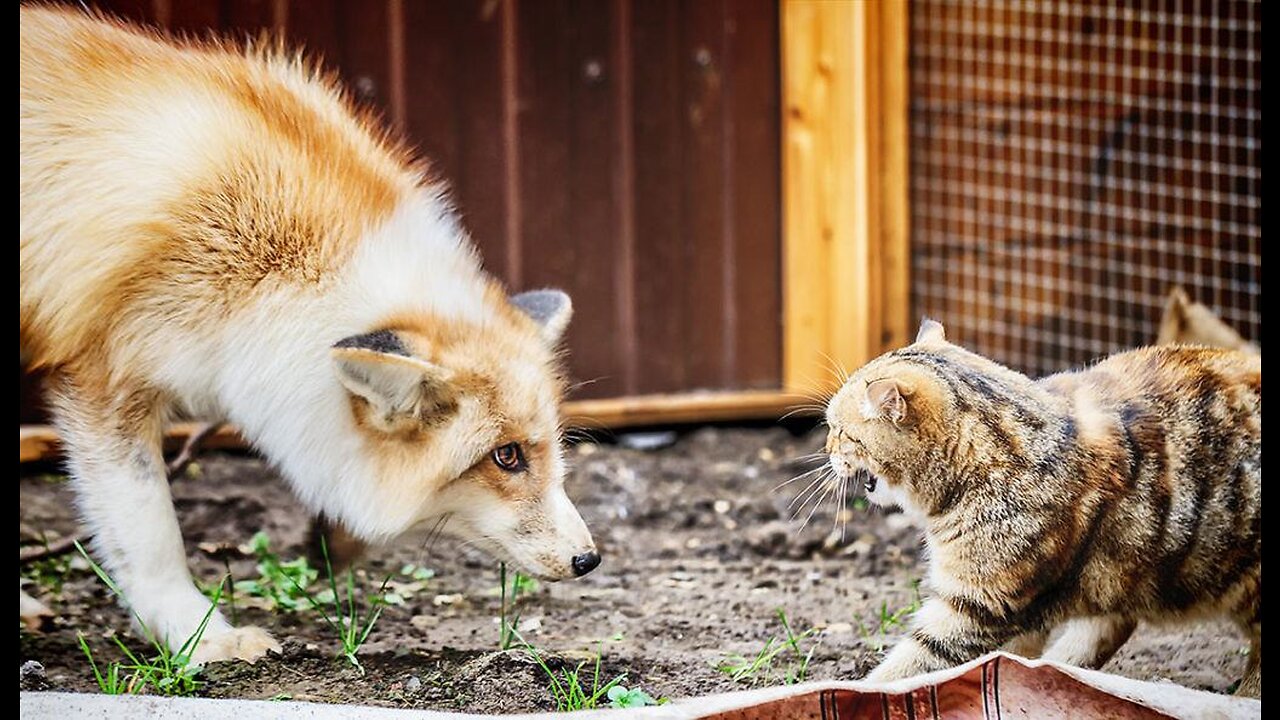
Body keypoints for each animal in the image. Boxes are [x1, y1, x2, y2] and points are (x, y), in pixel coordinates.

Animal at [18, 7, 599, 661]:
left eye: (550, 448)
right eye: (507, 456)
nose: (589, 560)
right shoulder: (105, 378)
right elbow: (151, 534)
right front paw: (200, 639)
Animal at [829, 319, 1259, 696]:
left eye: (838, 430)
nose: (828, 448)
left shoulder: (979, 608)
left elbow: (907, 667)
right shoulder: (1018, 610)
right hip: (1125, 571)